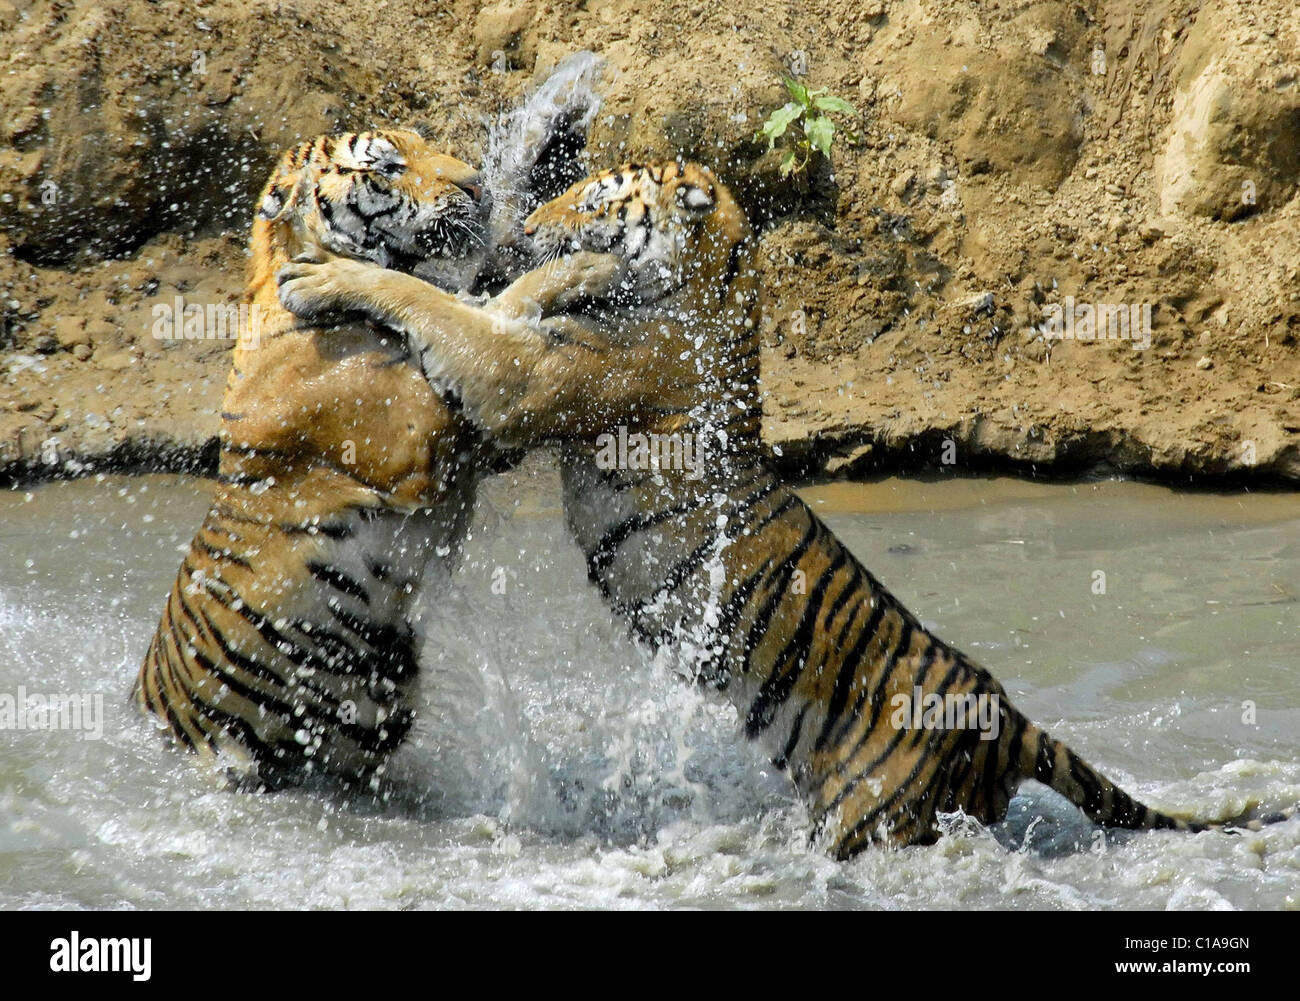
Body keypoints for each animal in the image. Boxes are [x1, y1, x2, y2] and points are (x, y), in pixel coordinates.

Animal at [134, 132, 691, 790]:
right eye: (387, 165)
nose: (477, 183)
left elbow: (470, 309)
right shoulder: (415, 431)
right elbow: (468, 308)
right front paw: (593, 266)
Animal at [271, 159, 1289, 852]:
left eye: (597, 200)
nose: (527, 217)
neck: (714, 281)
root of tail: (1009, 713)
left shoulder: (524, 377)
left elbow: (436, 305)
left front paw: (321, 275)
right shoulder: (527, 338)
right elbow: (505, 295)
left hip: (870, 814)